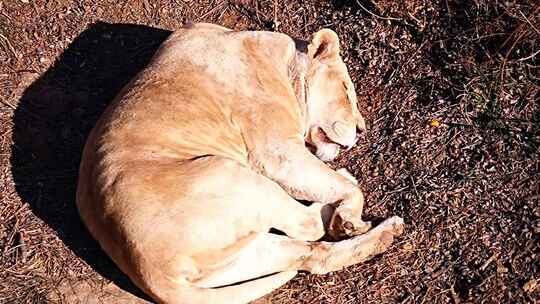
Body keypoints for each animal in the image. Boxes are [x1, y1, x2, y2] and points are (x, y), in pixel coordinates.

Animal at [77, 22, 404, 302]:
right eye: (347, 91)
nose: (361, 130)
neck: (280, 57)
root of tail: (147, 273)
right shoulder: (276, 151)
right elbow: (346, 191)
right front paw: (349, 216)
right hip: (227, 173)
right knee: (308, 227)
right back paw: (347, 204)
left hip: (240, 253)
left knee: (312, 254)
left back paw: (388, 231)